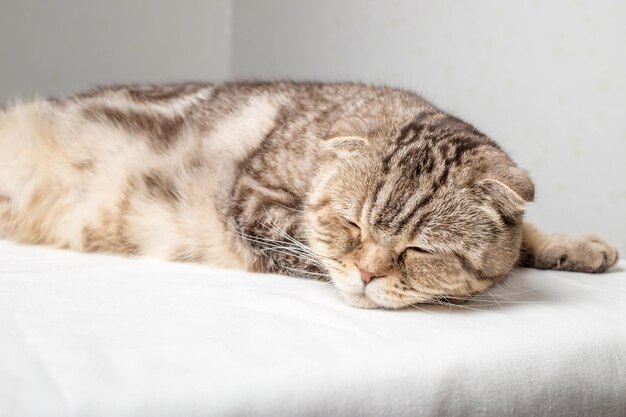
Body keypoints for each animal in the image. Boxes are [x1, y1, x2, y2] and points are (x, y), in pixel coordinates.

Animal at [0, 83, 616, 308]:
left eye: (419, 250)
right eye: (353, 225)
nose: (368, 274)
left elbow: (526, 233)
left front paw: (576, 245)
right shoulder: (253, 199)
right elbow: (304, 241)